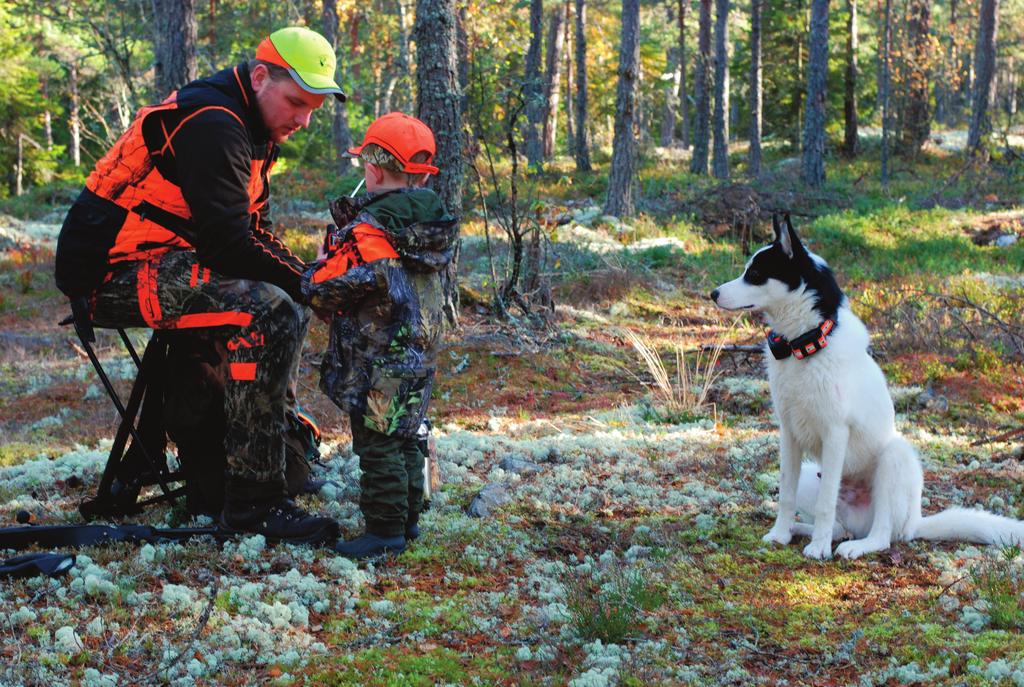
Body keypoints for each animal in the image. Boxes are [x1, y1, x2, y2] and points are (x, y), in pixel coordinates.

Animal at [712, 218, 1024, 561]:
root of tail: (915, 523)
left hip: (894, 458)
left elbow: (825, 503)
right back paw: (802, 530)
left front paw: (818, 550)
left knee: (882, 535)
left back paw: (852, 546)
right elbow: (786, 494)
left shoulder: (835, 433)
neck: (804, 345)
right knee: (838, 526)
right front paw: (780, 534)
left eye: (755, 274)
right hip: (811, 475)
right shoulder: (789, 434)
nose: (713, 293)